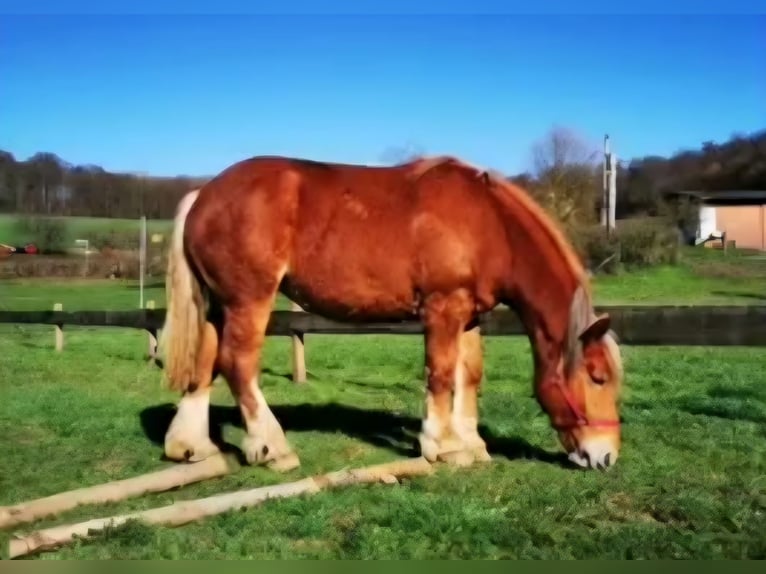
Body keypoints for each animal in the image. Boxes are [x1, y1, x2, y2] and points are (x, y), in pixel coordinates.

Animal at [158, 154, 623, 472]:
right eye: (597, 377)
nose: (606, 456)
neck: (488, 224)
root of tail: (204, 195)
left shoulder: (468, 315)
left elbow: (467, 375)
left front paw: (472, 443)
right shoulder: (442, 308)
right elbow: (440, 373)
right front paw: (443, 445)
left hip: (218, 306)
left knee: (206, 362)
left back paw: (191, 446)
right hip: (249, 301)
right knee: (238, 364)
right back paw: (272, 446)